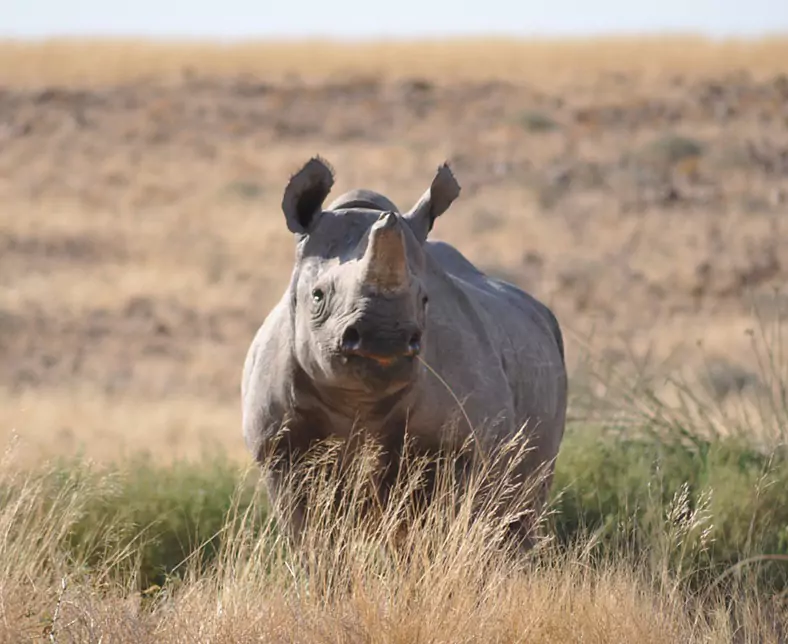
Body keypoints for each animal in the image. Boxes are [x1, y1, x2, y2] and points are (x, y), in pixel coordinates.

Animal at [241, 157, 568, 548]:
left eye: (425, 299)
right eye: (317, 296)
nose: (385, 337)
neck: (358, 399)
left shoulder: (459, 449)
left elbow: (441, 528)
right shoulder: (280, 451)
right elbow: (311, 537)